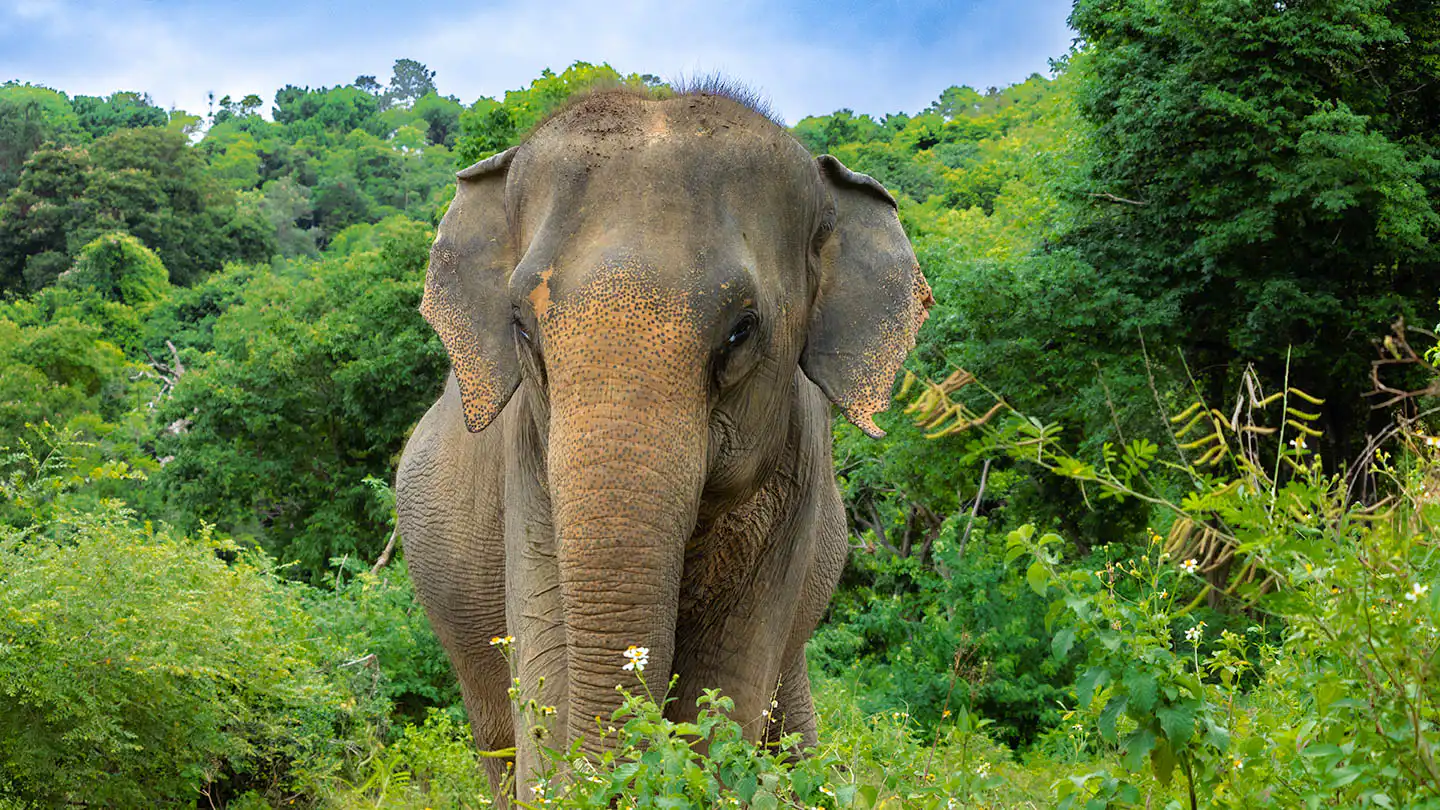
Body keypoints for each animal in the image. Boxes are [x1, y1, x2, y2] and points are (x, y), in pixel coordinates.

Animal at [395, 86, 931, 802]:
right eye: (522, 329)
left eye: (741, 331)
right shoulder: (528, 465)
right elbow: (547, 662)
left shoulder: (798, 479)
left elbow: (726, 683)